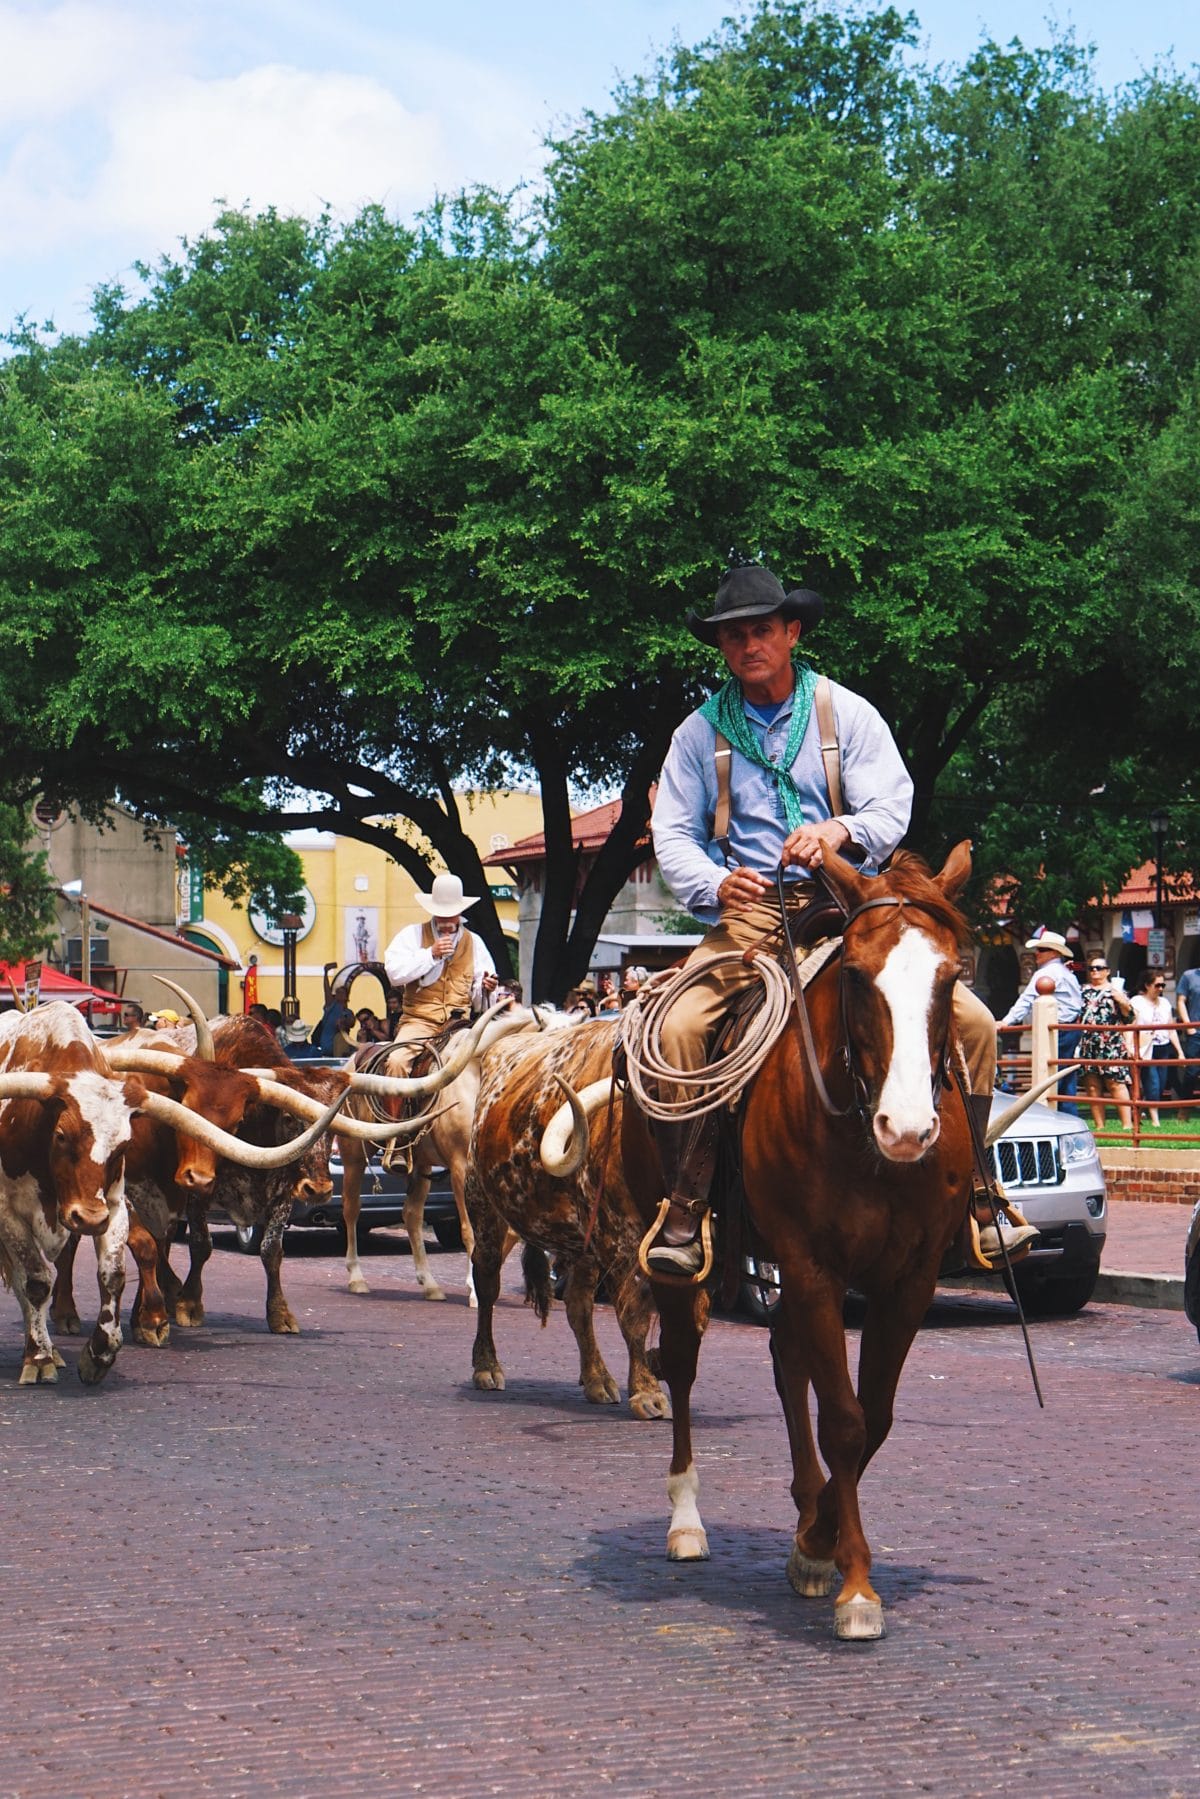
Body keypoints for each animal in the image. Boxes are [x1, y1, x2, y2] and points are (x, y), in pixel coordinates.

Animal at [629, 841, 978, 1647]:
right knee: (683, 1365)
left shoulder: (906, 1281)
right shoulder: (815, 1267)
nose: (907, 1128)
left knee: (787, 1358)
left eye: (951, 976)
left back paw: (806, 1507)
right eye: (855, 975)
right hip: (681, 1257)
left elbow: (870, 1414)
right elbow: (844, 1419)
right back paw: (686, 1517)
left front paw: (818, 1542)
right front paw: (855, 1584)